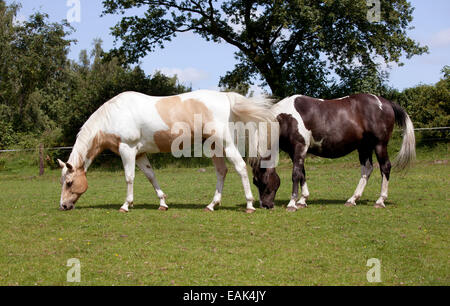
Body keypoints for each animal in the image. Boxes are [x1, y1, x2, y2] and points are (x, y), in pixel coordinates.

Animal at [56, 88, 274, 213]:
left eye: (69, 182)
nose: (63, 206)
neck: (114, 115)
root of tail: (226, 98)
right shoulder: (140, 154)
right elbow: (151, 176)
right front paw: (162, 203)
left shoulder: (128, 150)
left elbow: (129, 178)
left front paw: (126, 205)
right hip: (213, 146)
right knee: (222, 171)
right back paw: (211, 205)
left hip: (225, 143)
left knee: (240, 167)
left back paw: (249, 205)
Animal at [250, 93, 414, 212]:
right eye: (255, 182)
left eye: (262, 181)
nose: (265, 205)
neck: (286, 118)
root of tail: (386, 103)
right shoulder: (295, 152)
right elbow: (302, 174)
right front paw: (302, 200)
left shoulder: (299, 148)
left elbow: (295, 174)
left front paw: (292, 203)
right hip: (364, 147)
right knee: (367, 169)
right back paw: (352, 199)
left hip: (380, 145)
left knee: (385, 167)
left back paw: (380, 200)